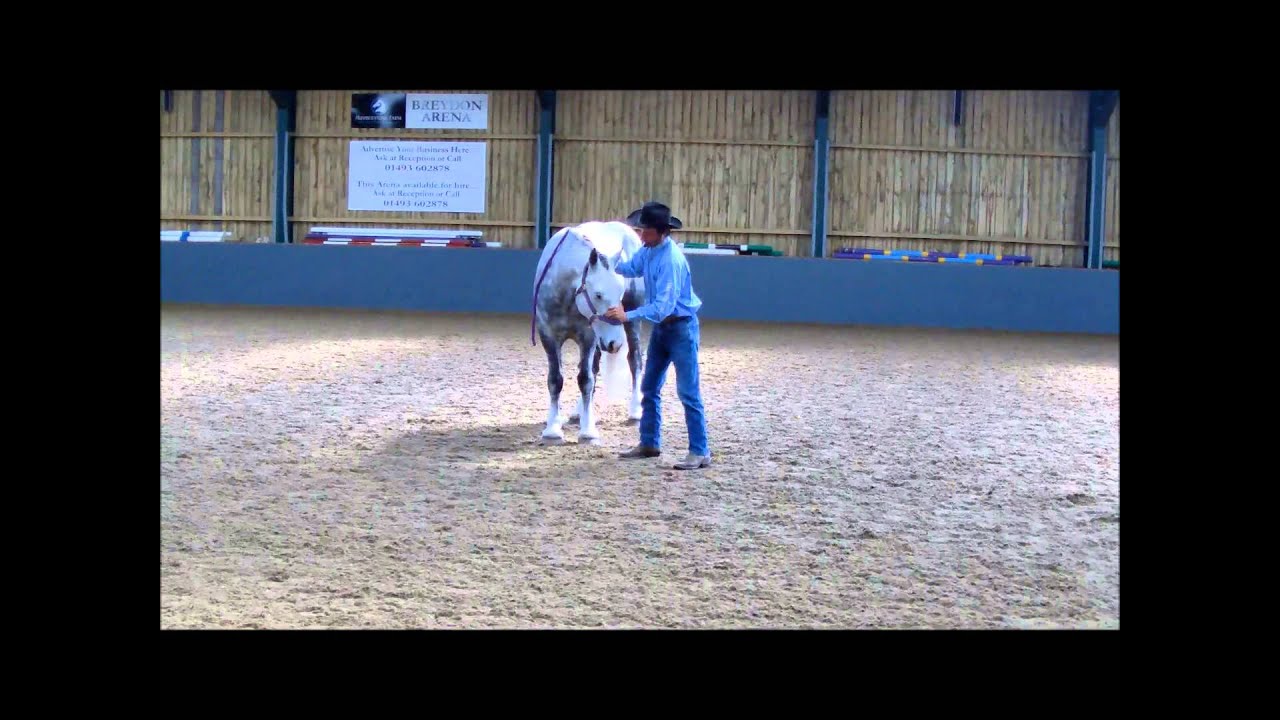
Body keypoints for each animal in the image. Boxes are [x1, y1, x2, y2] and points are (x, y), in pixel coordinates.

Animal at [531, 221, 647, 445]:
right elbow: (555, 379)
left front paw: (588, 431)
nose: (615, 343)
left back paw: (635, 411)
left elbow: (585, 379)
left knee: (634, 360)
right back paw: (579, 413)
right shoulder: (548, 337)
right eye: (598, 295)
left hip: (631, 321)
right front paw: (552, 429)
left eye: (620, 293)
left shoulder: (588, 338)